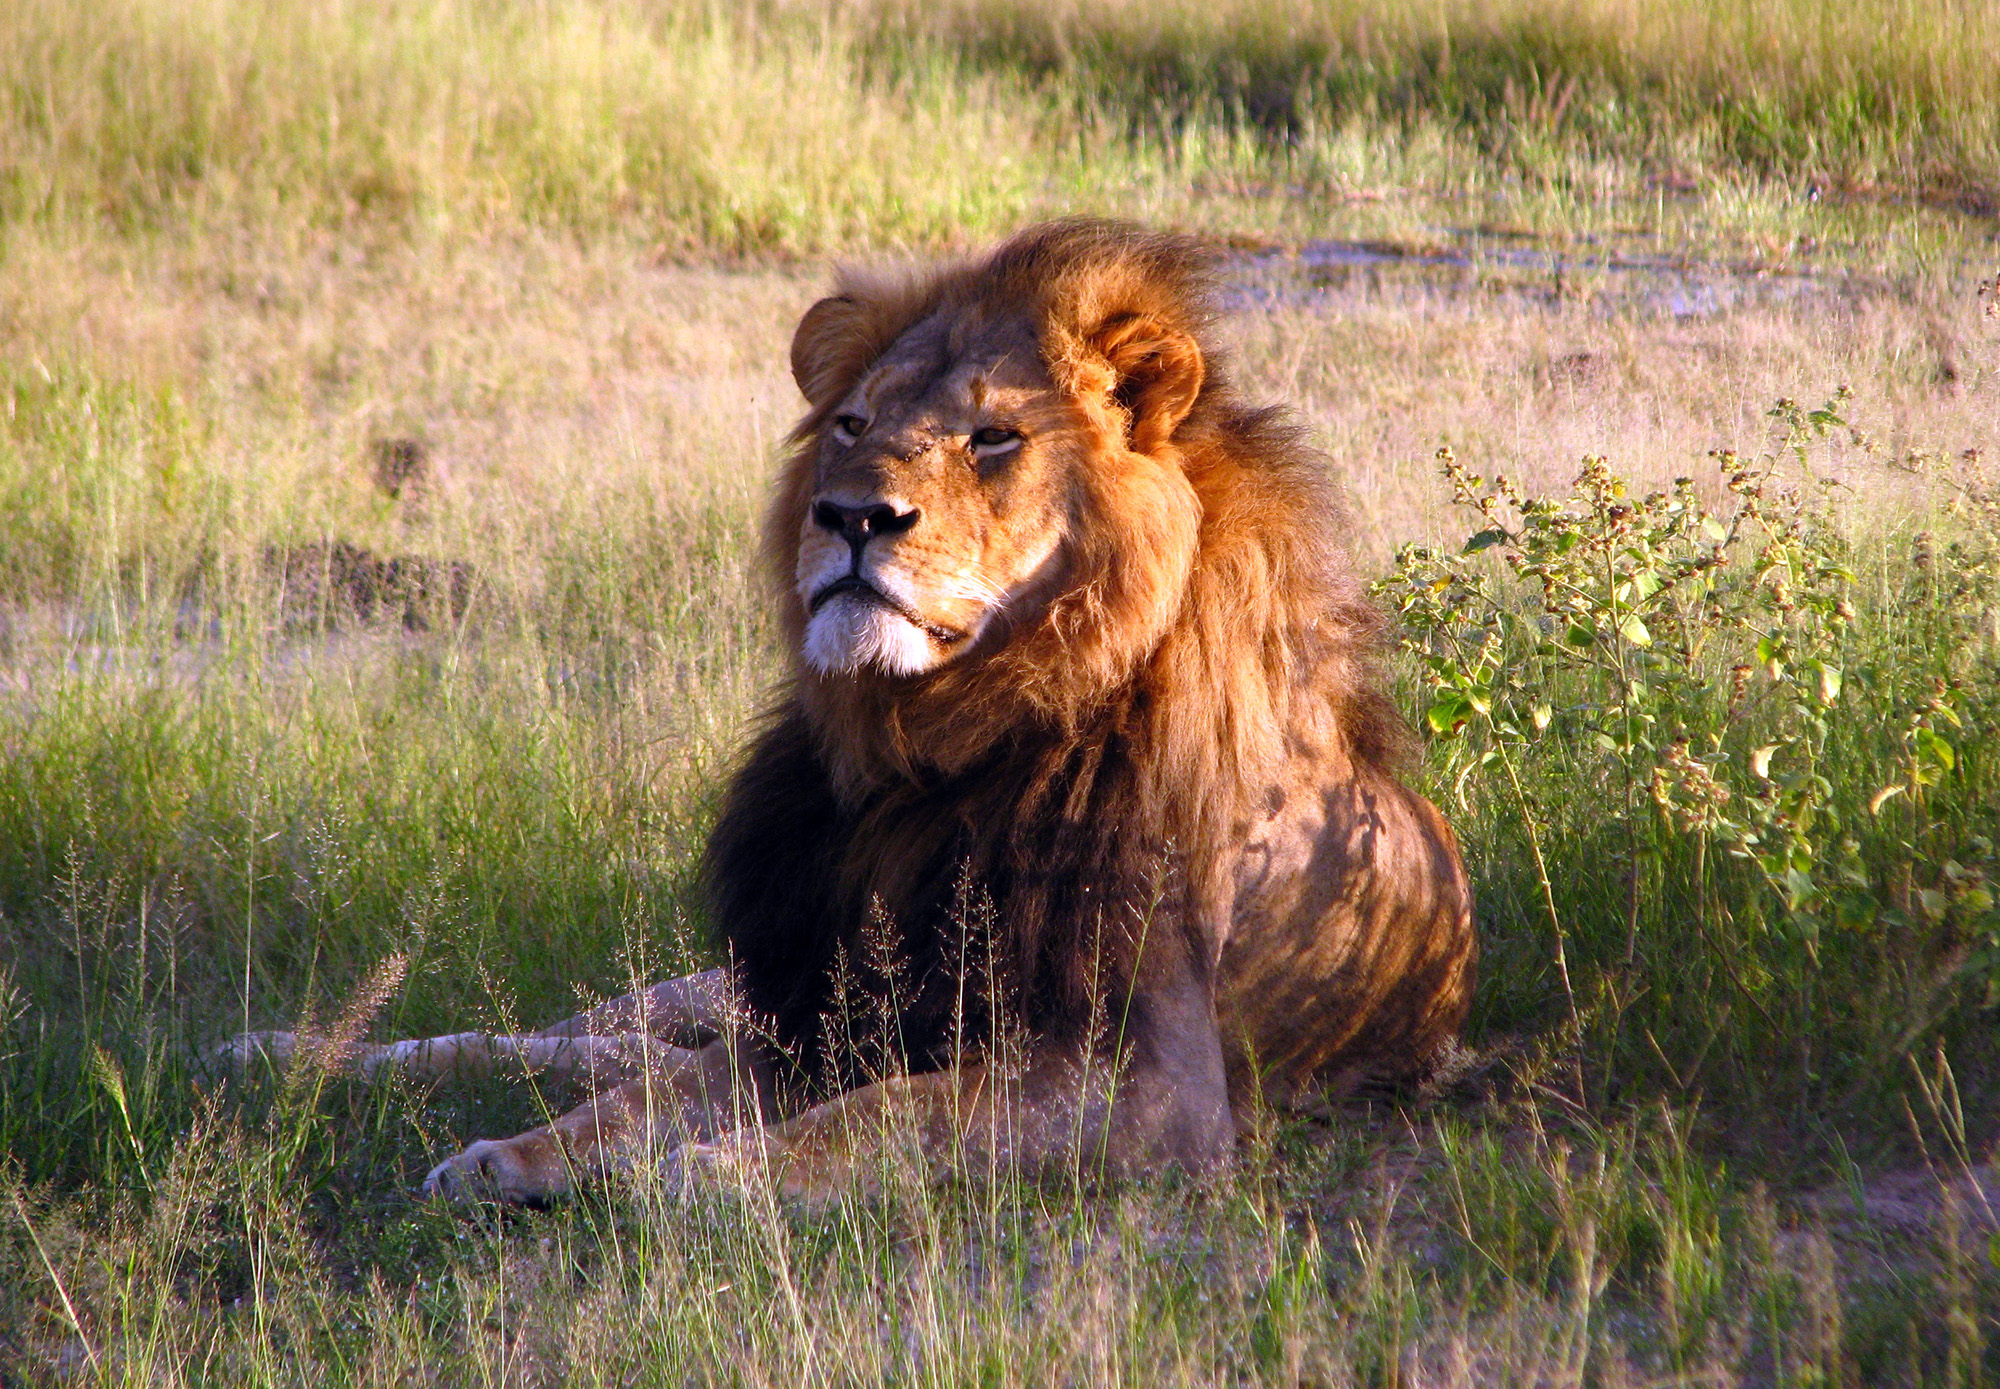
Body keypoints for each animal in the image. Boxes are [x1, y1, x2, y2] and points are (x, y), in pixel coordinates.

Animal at [223, 220, 1475, 1203]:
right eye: (850, 426)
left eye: (993, 437)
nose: (851, 517)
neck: (934, 749)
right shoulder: (812, 1008)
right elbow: (646, 1097)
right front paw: (515, 1160)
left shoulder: (1153, 1082)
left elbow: (885, 1115)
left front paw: (709, 1179)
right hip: (729, 977)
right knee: (593, 1034)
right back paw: (292, 1051)